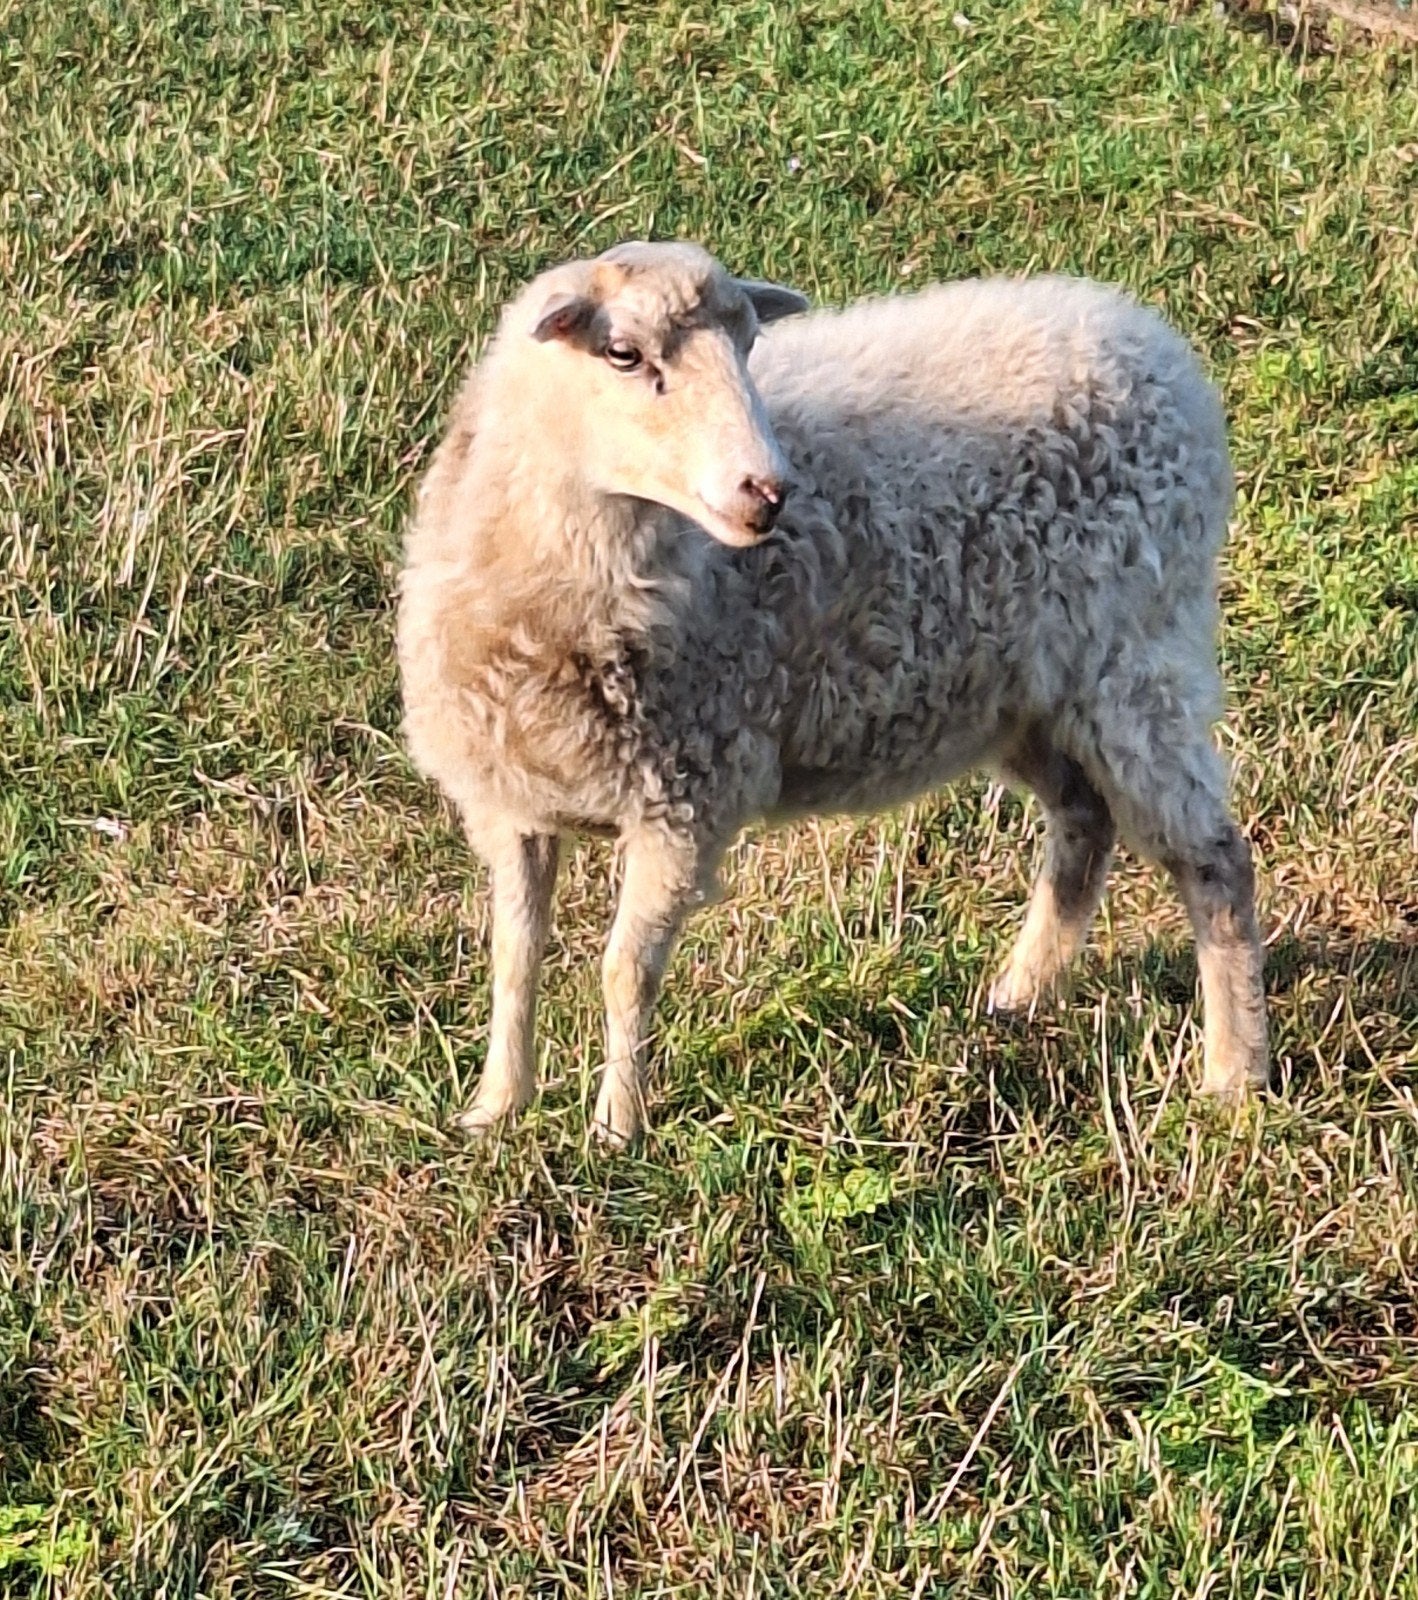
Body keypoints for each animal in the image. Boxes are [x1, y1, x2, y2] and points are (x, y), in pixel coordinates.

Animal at [397, 240, 1269, 1147]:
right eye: (623, 353)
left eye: (750, 345)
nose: (769, 491)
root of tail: (1149, 340)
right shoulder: (512, 802)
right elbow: (514, 958)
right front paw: (496, 1109)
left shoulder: (686, 798)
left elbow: (624, 972)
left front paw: (616, 1131)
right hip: (1024, 698)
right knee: (1084, 822)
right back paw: (1019, 998)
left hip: (1137, 661)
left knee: (1214, 858)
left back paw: (1234, 1072)